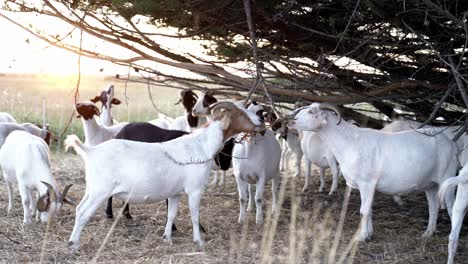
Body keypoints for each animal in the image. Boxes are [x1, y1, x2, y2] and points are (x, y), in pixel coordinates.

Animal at [64, 101, 266, 250]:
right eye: (242, 114)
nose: (261, 123)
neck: (201, 145)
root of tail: (91, 151)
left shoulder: (175, 193)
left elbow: (171, 214)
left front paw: (167, 237)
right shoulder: (195, 190)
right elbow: (194, 215)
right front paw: (199, 241)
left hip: (92, 189)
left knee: (79, 208)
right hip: (100, 191)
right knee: (83, 212)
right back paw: (74, 243)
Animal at [288, 103, 458, 241]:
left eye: (311, 111)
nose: (291, 119)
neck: (349, 142)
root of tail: (450, 143)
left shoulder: (366, 183)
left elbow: (363, 211)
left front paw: (361, 237)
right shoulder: (367, 186)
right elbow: (368, 210)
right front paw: (369, 234)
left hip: (447, 177)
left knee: (451, 206)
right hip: (430, 184)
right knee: (433, 207)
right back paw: (428, 233)